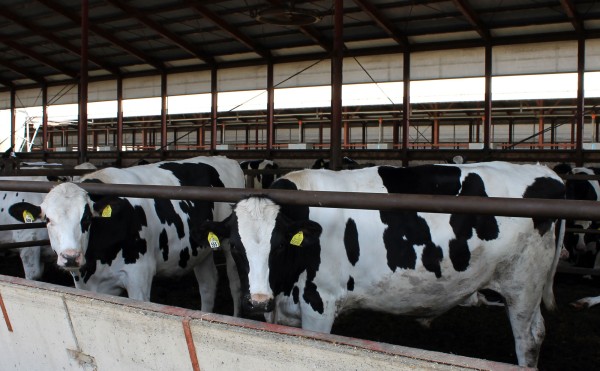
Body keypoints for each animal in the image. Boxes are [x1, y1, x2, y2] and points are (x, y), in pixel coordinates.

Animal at [9, 157, 244, 316]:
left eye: (86, 218)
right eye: (48, 219)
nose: (70, 257)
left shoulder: (139, 276)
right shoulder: (86, 284)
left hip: (230, 245)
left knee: (234, 284)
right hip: (200, 250)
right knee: (208, 284)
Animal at [193, 161, 568, 368]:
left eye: (281, 244)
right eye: (236, 247)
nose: (257, 301)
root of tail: (545, 172)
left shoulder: (320, 303)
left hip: (523, 284)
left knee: (529, 337)